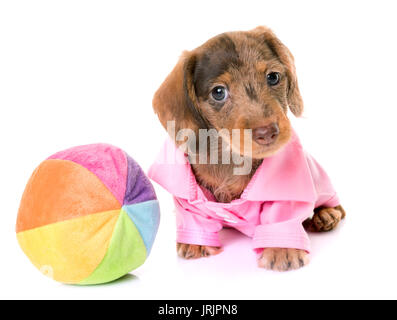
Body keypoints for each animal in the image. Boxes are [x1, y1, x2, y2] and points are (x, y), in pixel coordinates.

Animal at [148, 26, 344, 270]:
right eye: (219, 92)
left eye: (273, 77)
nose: (267, 132)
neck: (231, 156)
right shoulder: (188, 198)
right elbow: (193, 219)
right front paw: (196, 243)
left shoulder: (286, 195)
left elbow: (281, 218)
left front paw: (282, 249)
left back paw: (326, 214)